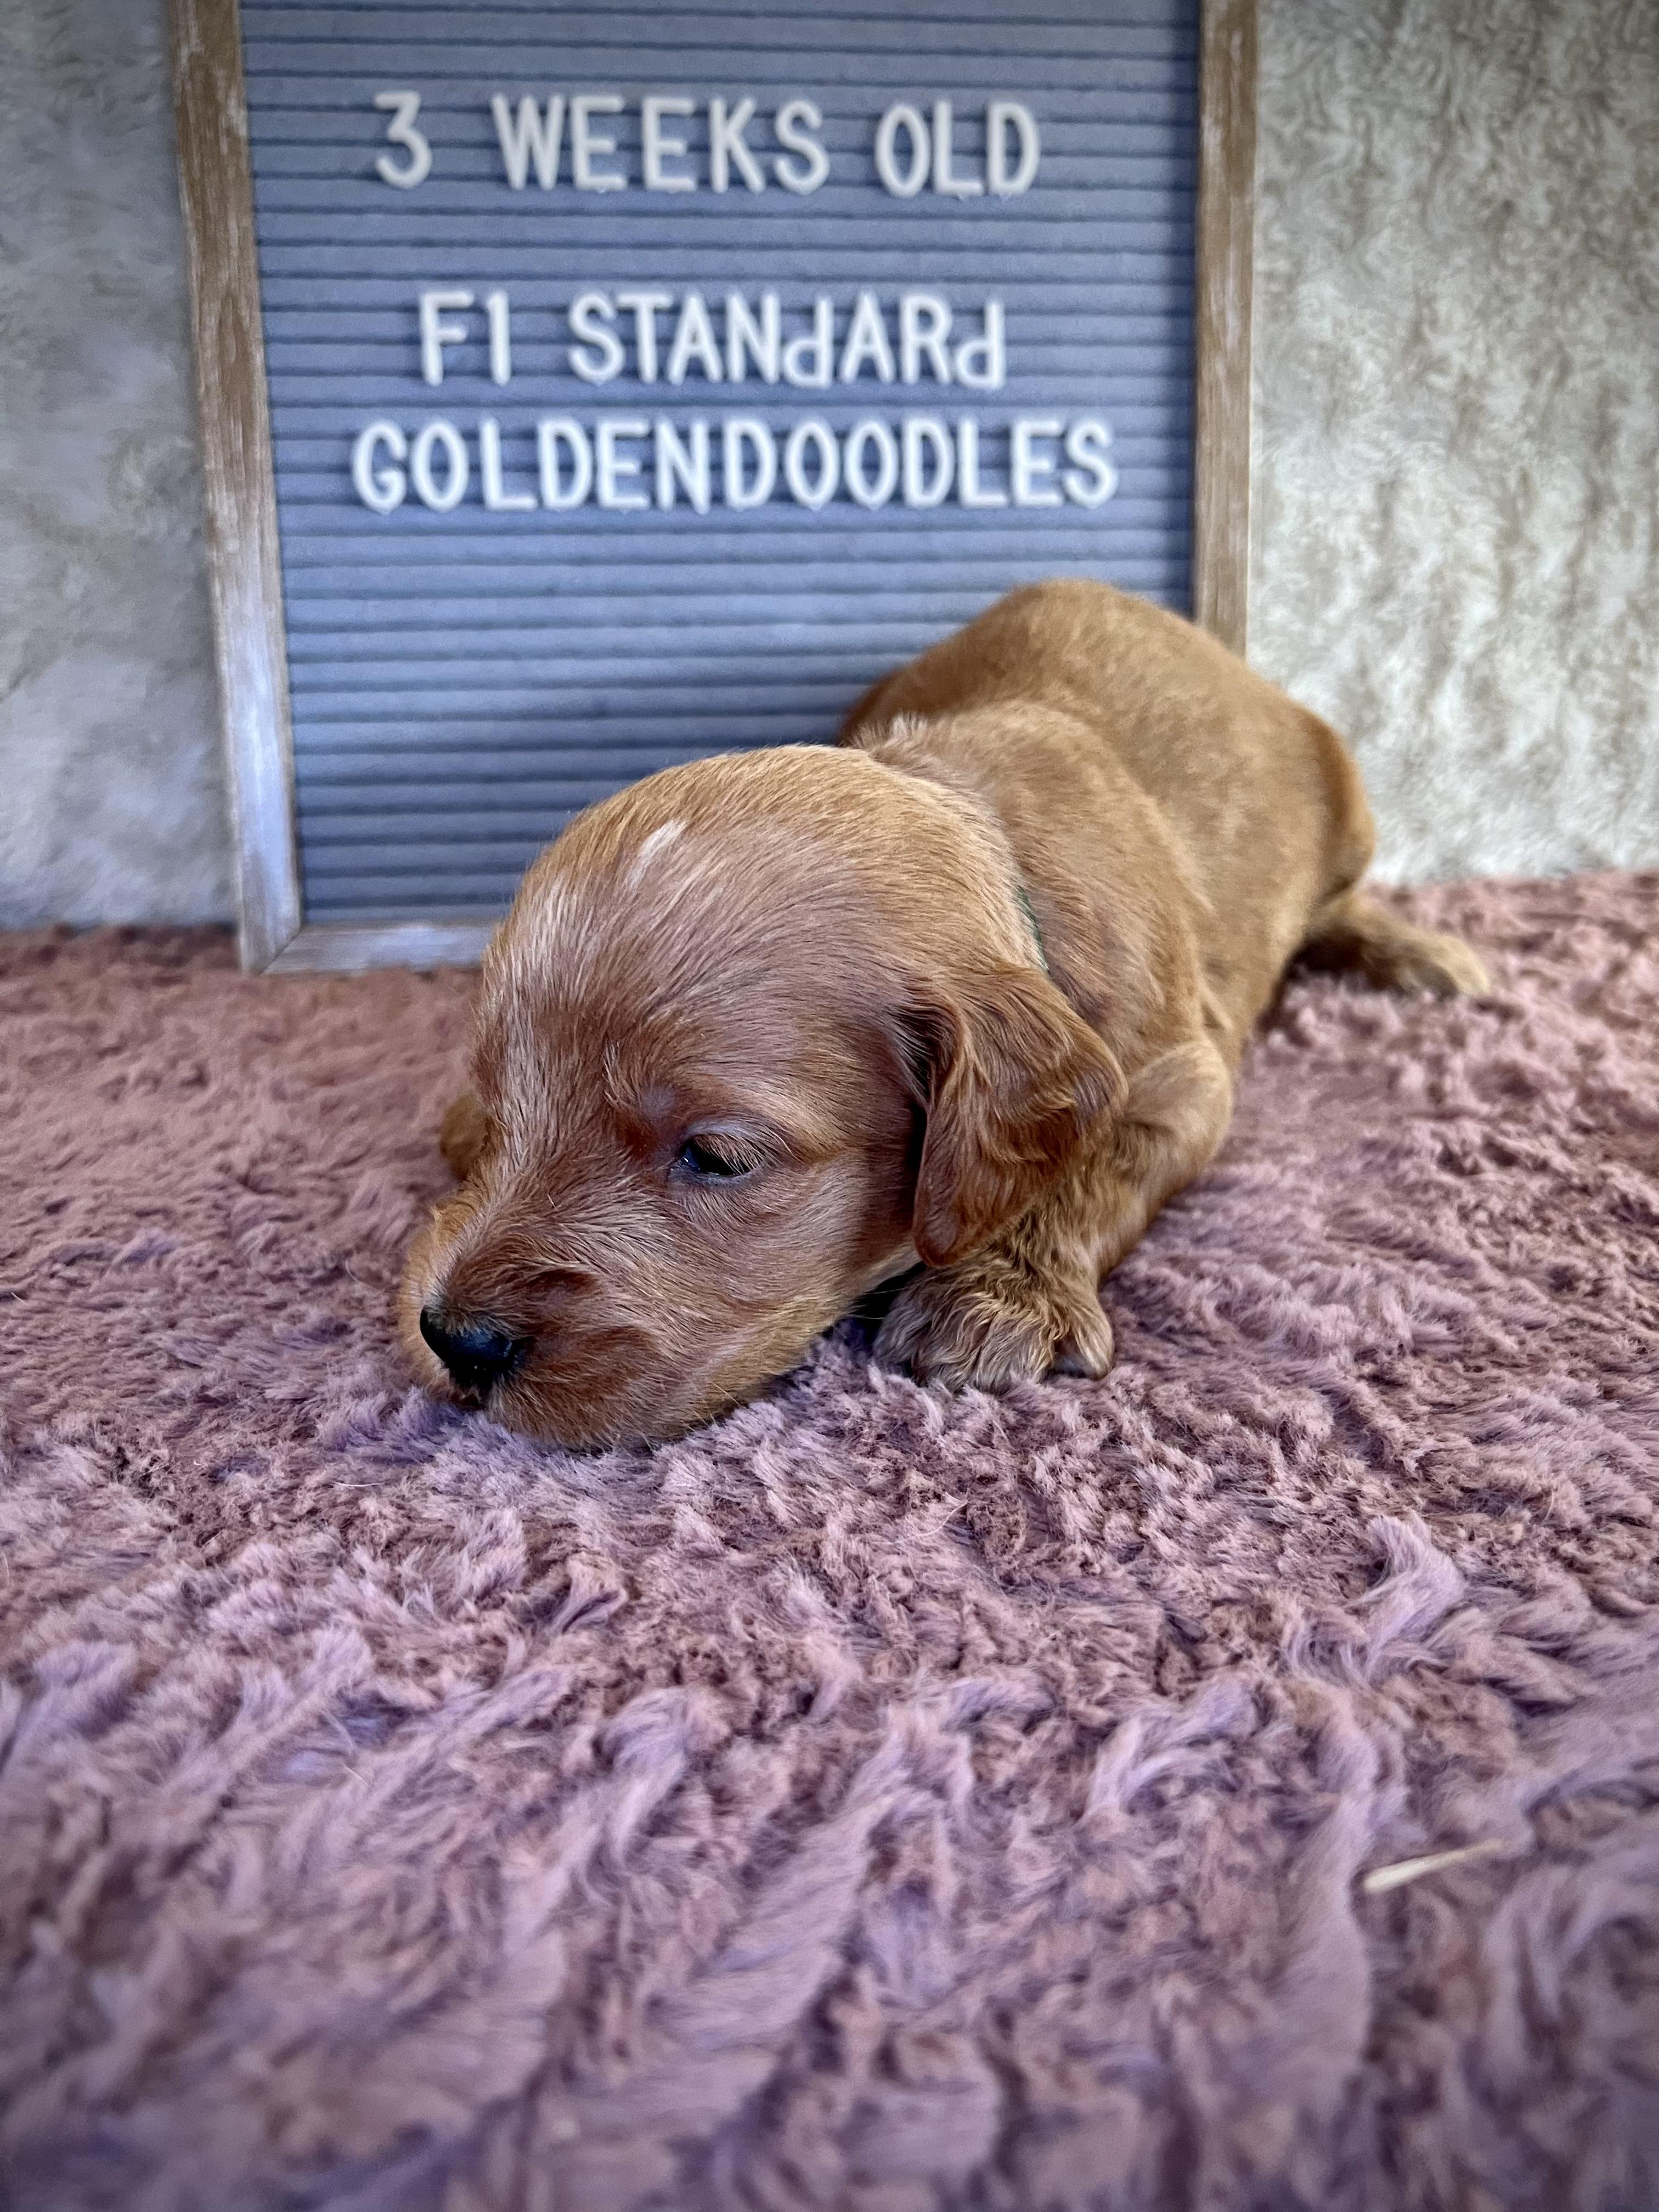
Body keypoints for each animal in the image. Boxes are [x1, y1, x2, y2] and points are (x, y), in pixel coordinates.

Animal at [400, 579, 1486, 1448]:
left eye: (715, 1156)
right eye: (508, 1100)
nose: (456, 1340)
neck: (990, 840)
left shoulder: (1182, 1071)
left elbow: (1100, 1161)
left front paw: (996, 1294)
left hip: (1344, 801)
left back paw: (1422, 957)